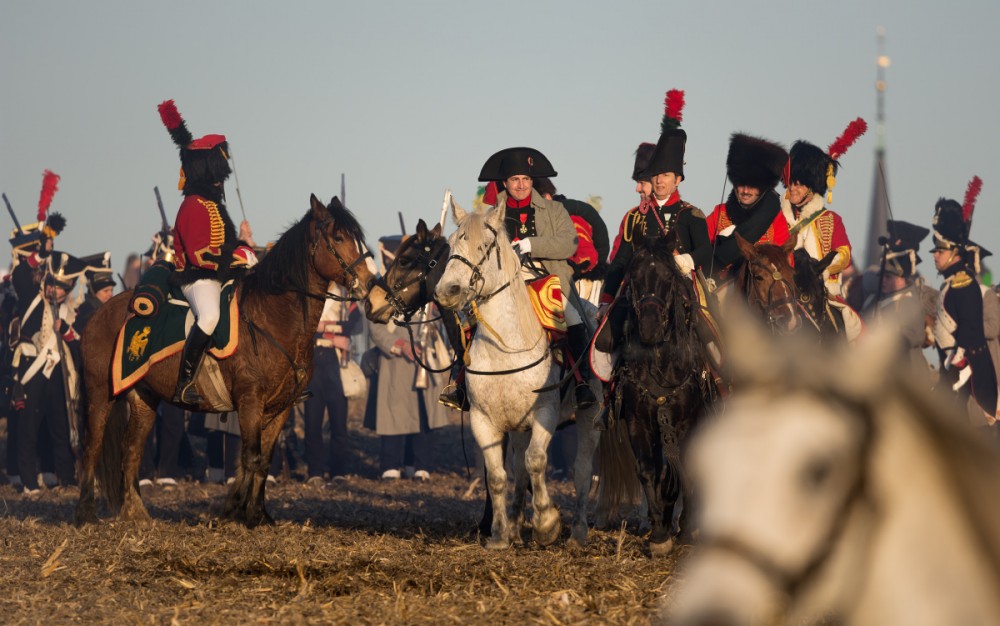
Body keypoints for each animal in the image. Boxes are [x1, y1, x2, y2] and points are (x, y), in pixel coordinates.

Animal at [75, 195, 376, 528]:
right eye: (339, 237)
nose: (370, 283)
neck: (272, 318)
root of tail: (98, 314)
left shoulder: (280, 407)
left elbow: (264, 460)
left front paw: (256, 513)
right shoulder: (250, 401)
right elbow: (250, 456)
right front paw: (240, 513)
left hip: (144, 399)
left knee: (131, 450)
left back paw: (137, 514)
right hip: (100, 395)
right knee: (91, 448)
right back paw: (85, 514)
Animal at [434, 201, 604, 544]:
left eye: (485, 246)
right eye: (452, 243)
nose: (448, 291)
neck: (505, 349)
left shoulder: (545, 413)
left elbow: (536, 462)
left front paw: (547, 524)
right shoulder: (484, 420)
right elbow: (499, 476)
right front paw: (500, 534)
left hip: (590, 417)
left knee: (581, 470)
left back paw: (578, 531)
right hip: (517, 426)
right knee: (520, 469)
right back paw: (514, 523)